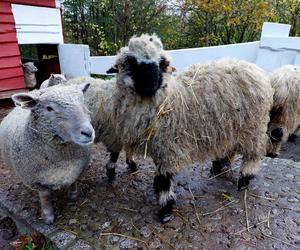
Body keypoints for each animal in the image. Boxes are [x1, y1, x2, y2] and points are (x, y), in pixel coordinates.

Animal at [0, 83, 94, 225]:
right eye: (49, 108)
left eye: (83, 102)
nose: (88, 132)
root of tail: (34, 91)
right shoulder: (37, 181)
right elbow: (45, 197)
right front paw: (48, 216)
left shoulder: (77, 169)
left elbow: (73, 182)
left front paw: (73, 196)